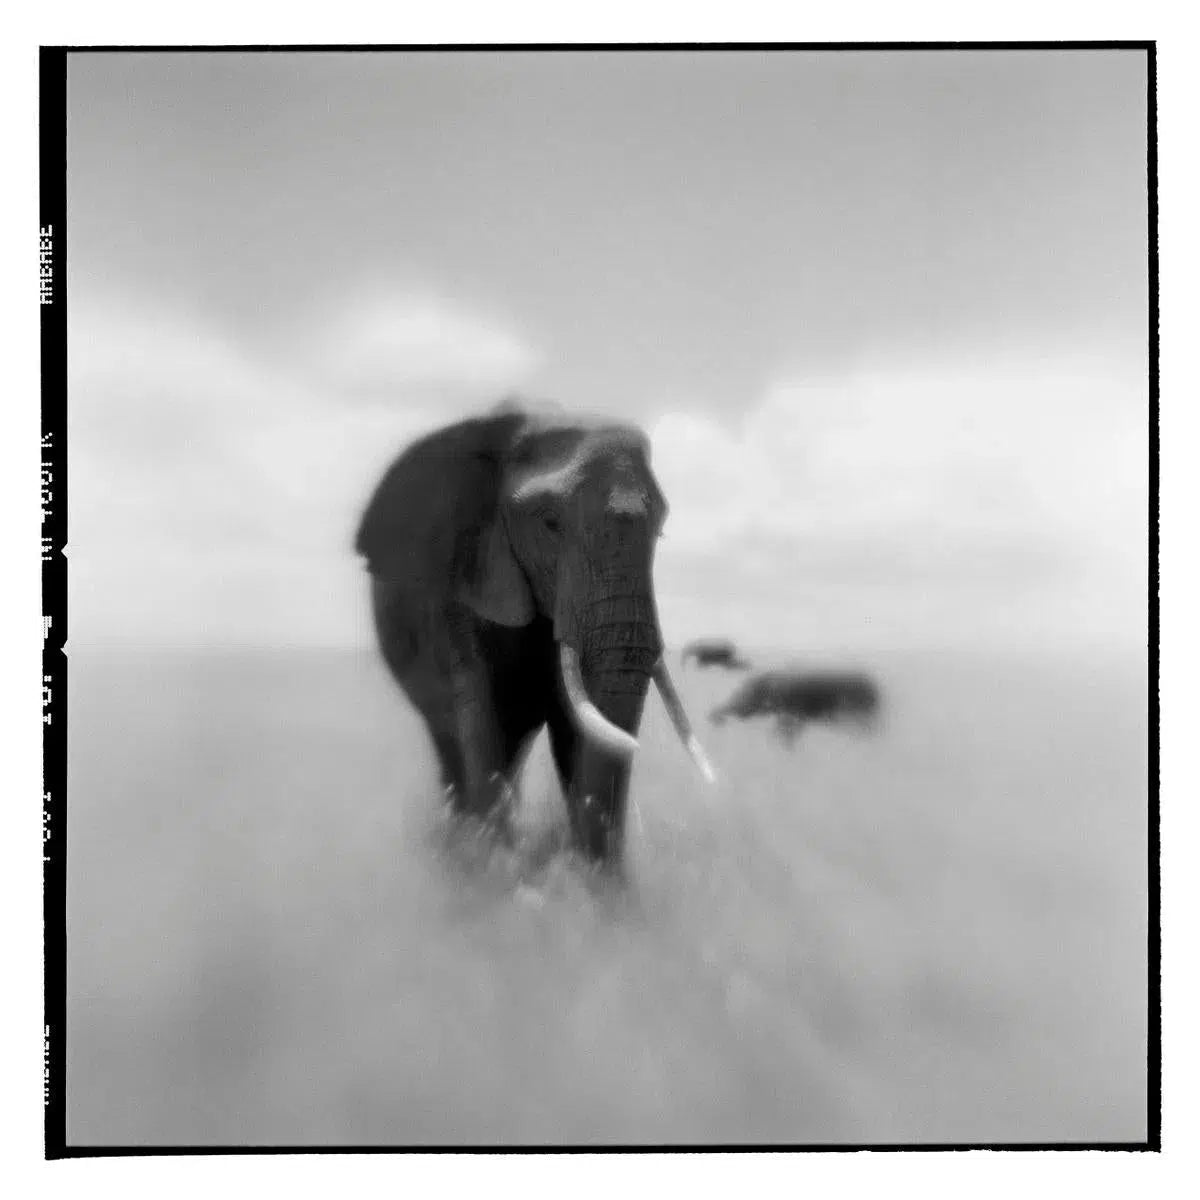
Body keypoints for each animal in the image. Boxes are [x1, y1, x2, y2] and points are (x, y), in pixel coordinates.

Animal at [355, 401, 715, 868]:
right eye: (549, 523)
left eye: (661, 528)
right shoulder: (460, 587)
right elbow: (482, 721)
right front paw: (495, 871)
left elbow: (573, 727)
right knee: (455, 746)